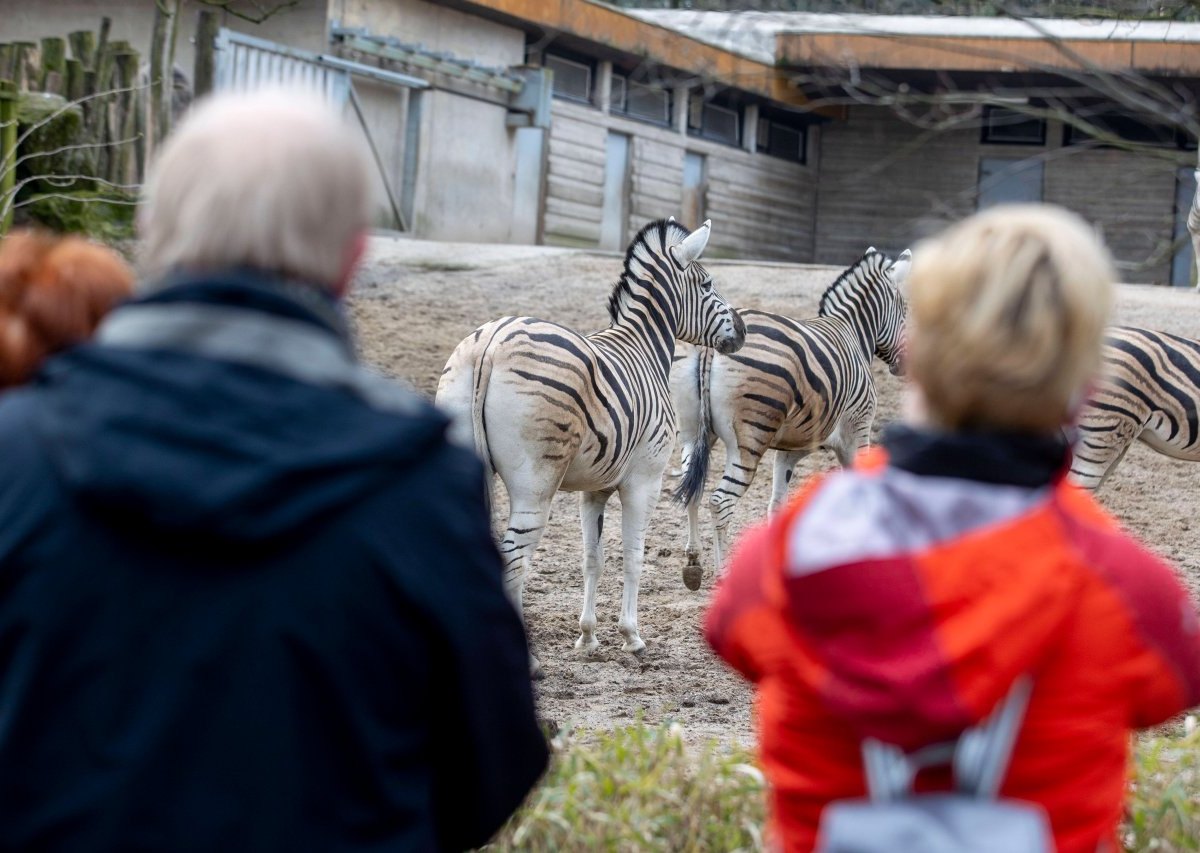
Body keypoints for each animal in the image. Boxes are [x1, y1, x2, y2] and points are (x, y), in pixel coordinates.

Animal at [436, 220, 744, 671]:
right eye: (707, 284)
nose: (741, 331)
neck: (646, 348)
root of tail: (491, 343)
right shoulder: (644, 481)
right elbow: (634, 555)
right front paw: (631, 636)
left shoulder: (594, 489)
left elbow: (592, 559)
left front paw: (587, 637)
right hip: (535, 484)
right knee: (514, 559)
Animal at [667, 247, 907, 587]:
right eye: (906, 309)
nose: (906, 364)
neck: (853, 333)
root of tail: (713, 347)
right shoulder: (856, 432)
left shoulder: (790, 450)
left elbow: (777, 506)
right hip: (748, 441)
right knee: (720, 501)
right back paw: (723, 575)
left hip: (693, 434)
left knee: (692, 489)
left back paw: (693, 562)